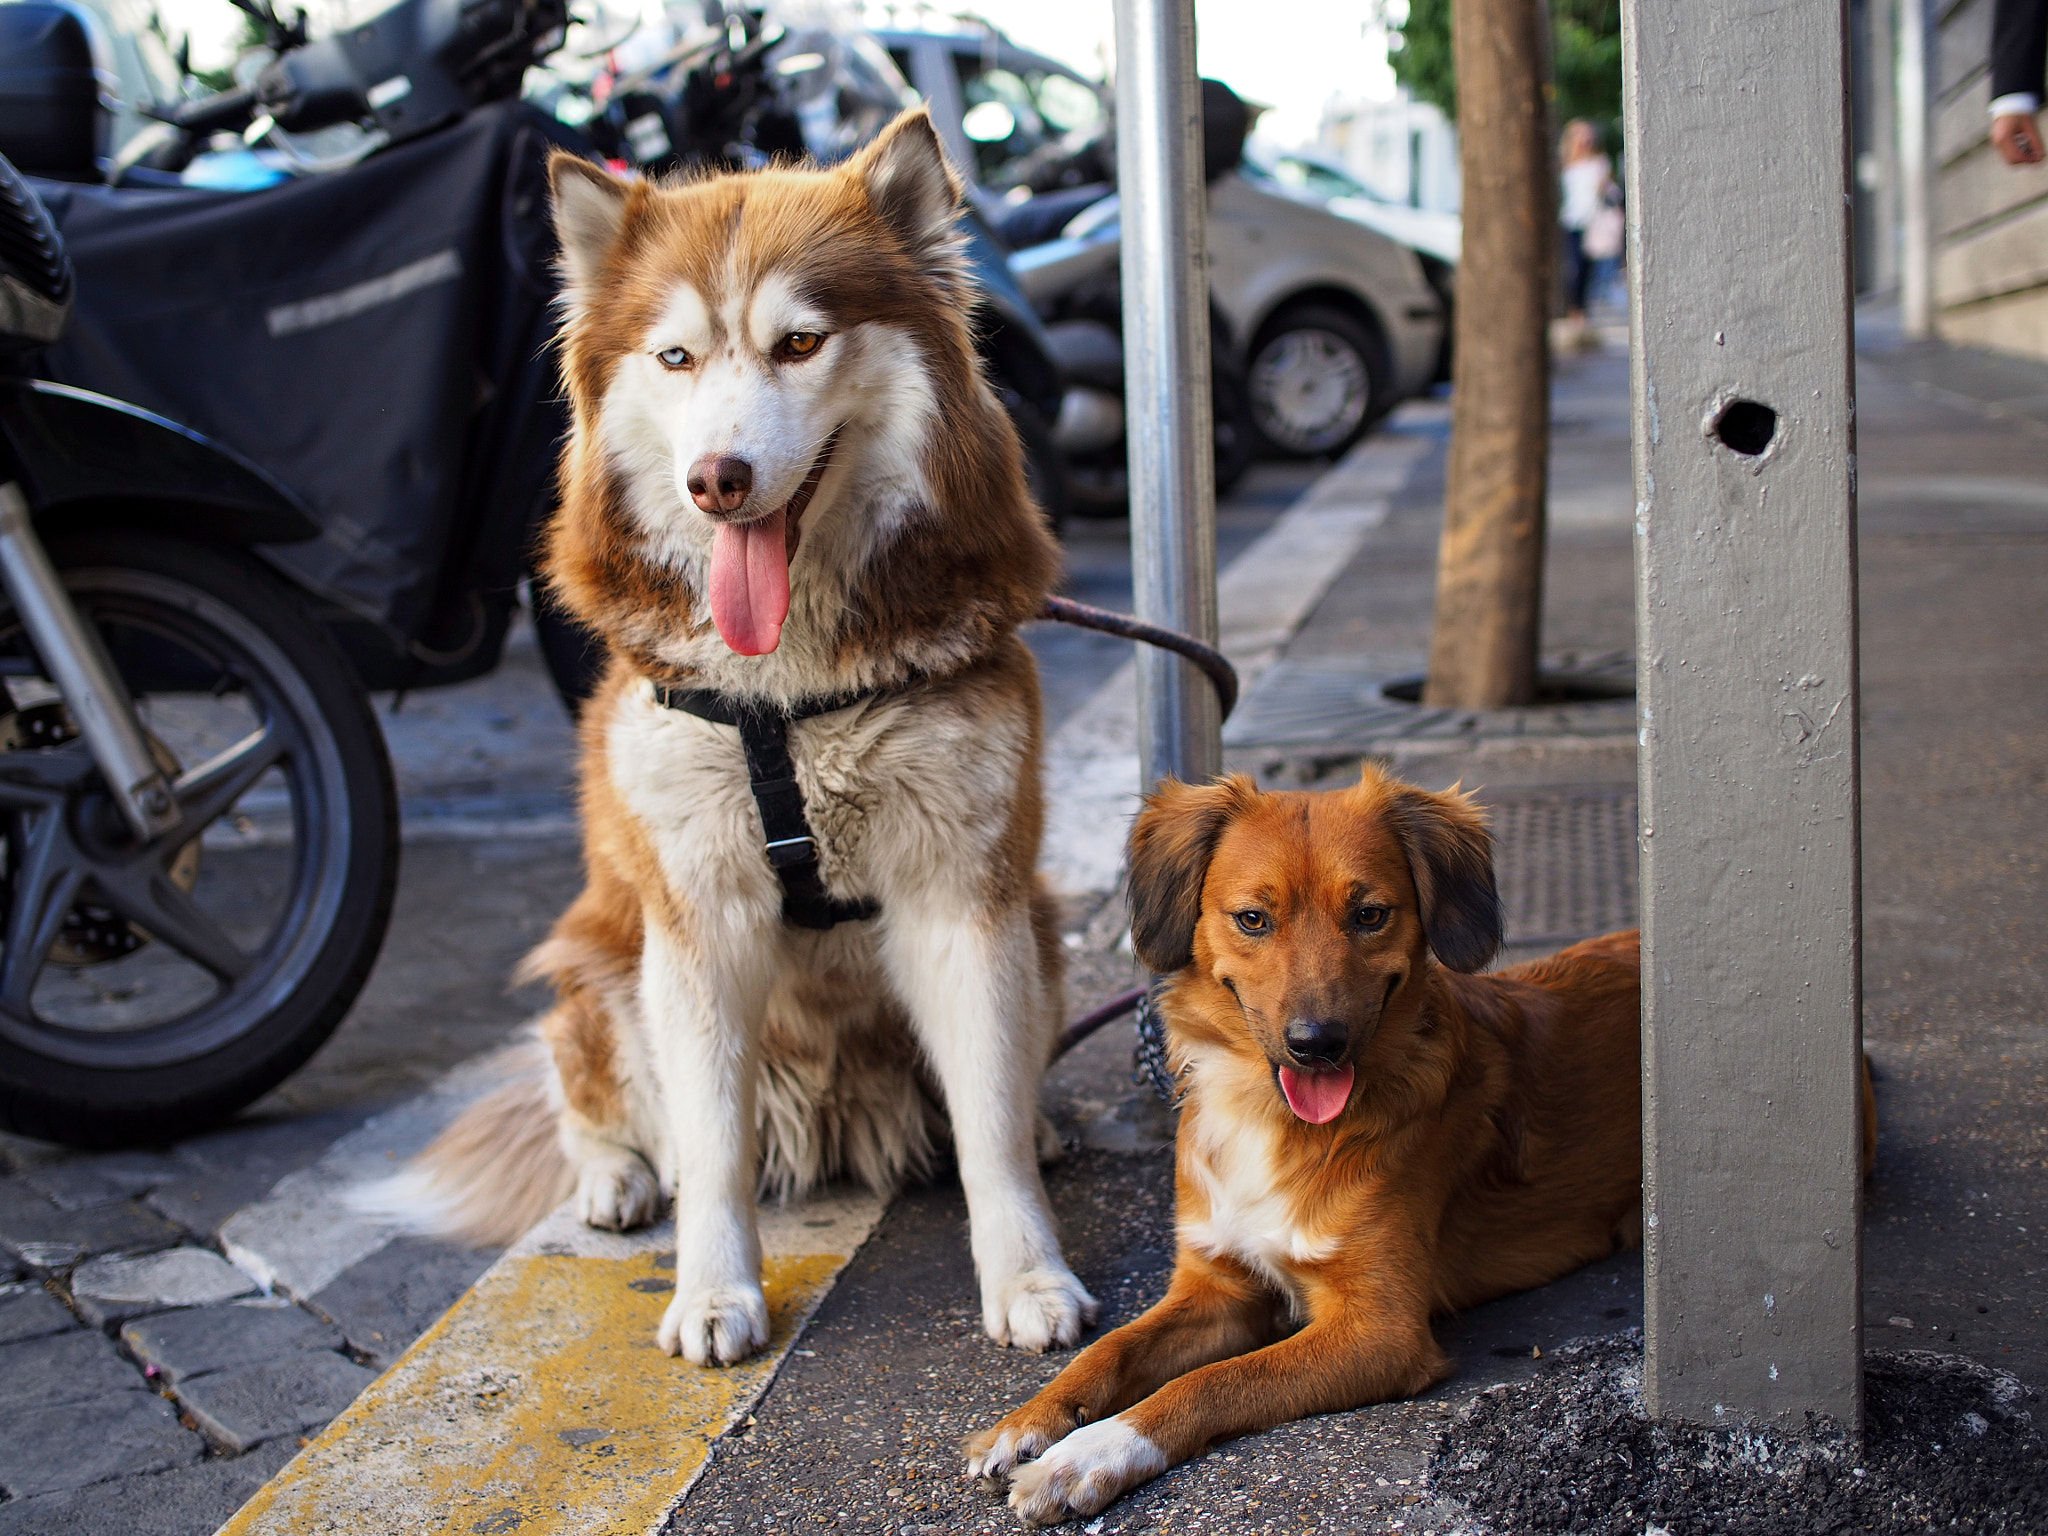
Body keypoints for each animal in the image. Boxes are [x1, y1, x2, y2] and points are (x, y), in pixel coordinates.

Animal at [403, 117, 1105, 1368]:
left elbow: (985, 1123)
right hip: (600, 964)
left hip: (1040, 927)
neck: (793, 691)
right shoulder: (697, 917)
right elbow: (714, 1145)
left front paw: (1027, 1275)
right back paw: (615, 1179)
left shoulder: (965, 898)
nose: (716, 481)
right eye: (676, 358)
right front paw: (713, 1292)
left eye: (799, 343)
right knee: (583, 1092)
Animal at [958, 770, 1646, 1531]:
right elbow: (1111, 1348)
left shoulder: (1379, 1331)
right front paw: (1030, 1421)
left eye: (1370, 914)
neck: (1271, 1116)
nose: (1317, 1044)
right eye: (1254, 919)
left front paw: (1088, 1454)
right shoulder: (1217, 1286)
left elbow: (1210, 1383)